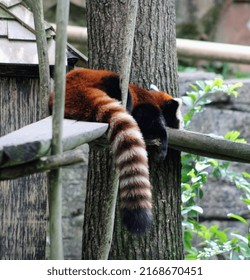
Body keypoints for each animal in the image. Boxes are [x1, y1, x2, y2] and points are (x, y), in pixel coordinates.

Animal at [48, 68, 182, 234]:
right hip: (104, 80)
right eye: (179, 119)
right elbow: (153, 125)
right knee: (119, 86)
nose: (181, 126)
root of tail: (72, 87)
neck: (154, 97)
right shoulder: (147, 107)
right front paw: (163, 144)